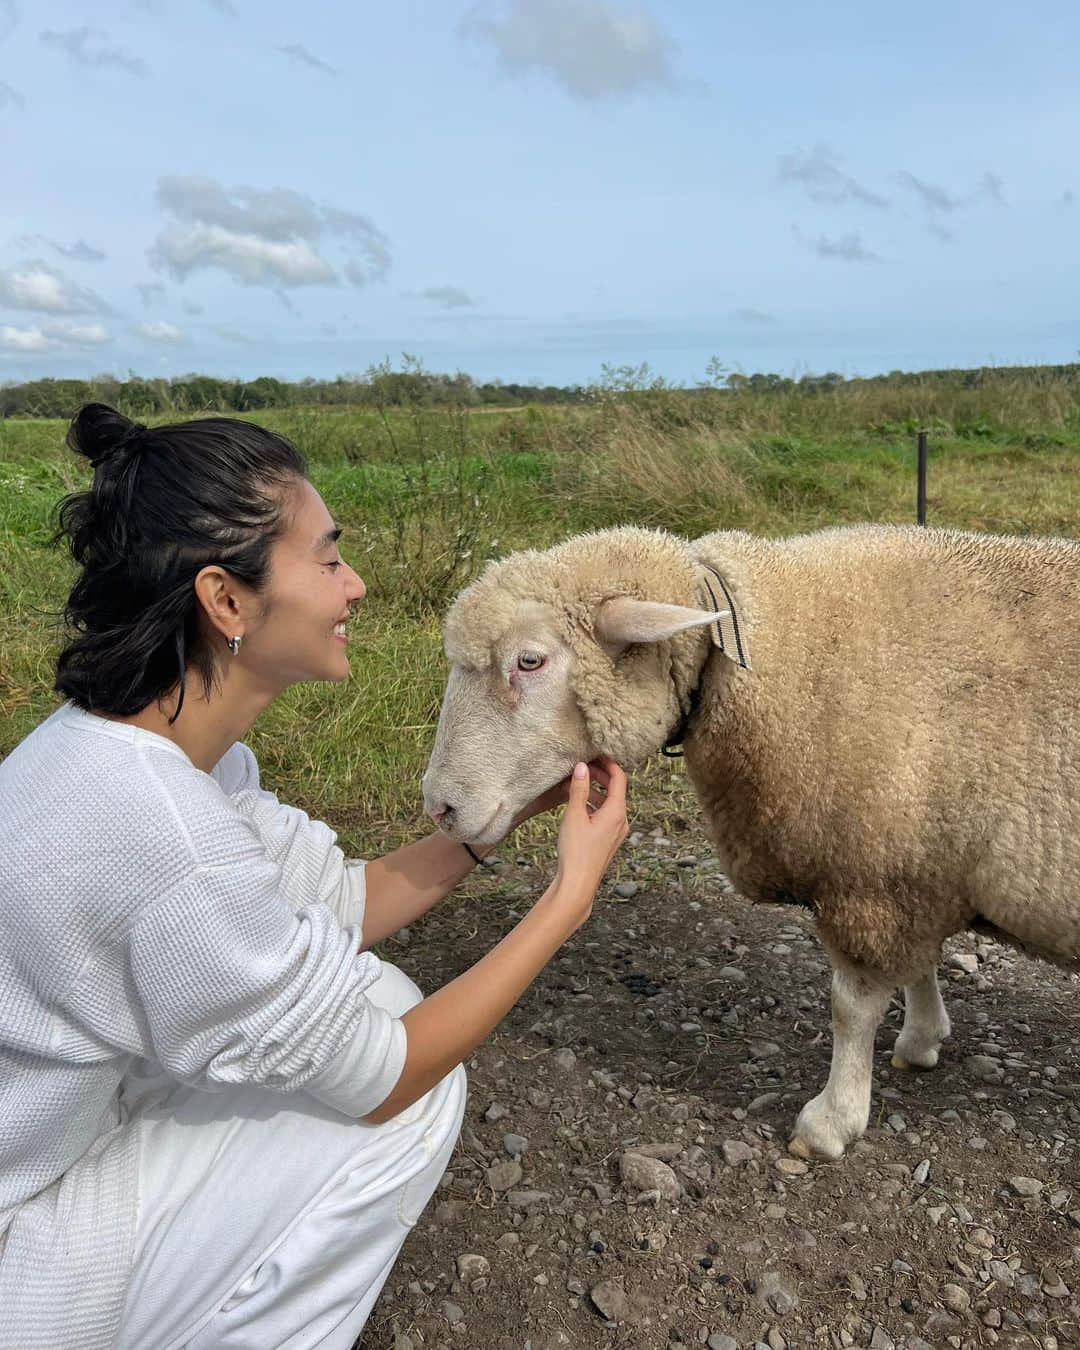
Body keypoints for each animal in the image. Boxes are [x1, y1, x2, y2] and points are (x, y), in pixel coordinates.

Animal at [418, 521, 1080, 1155]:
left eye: (529, 661)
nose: (439, 807)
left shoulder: (872, 873)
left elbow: (851, 1007)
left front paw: (832, 1120)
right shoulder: (916, 863)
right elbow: (920, 966)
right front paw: (921, 1038)